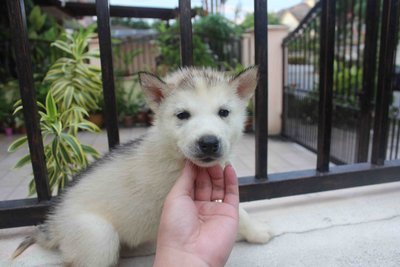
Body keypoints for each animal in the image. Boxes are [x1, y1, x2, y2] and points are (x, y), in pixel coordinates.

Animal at [11, 67, 272, 267]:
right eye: (182, 115)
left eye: (224, 112)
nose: (208, 142)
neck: (176, 155)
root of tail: (54, 224)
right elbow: (240, 213)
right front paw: (259, 232)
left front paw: (257, 229)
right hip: (99, 236)